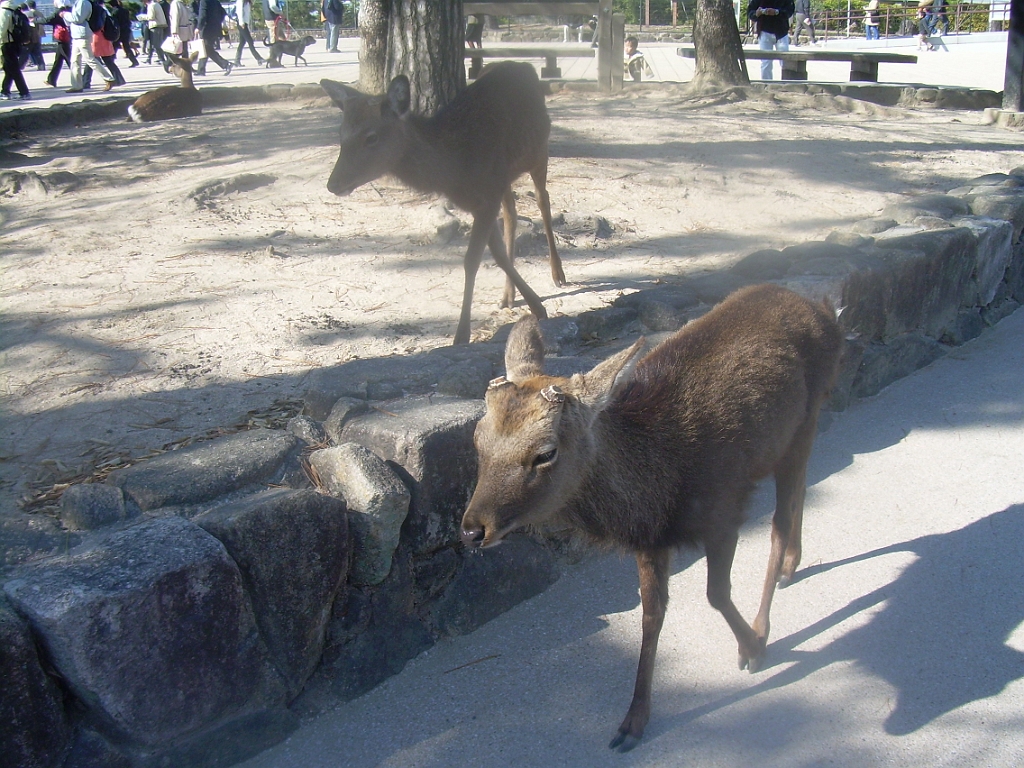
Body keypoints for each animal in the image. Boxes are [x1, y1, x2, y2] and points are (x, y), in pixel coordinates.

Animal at [317, 63, 569, 346]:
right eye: (341, 135)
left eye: (371, 137)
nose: (334, 184)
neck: (454, 169)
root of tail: (523, 66)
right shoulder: (484, 199)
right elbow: (498, 254)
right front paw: (534, 305)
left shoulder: (487, 196)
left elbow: (472, 261)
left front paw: (462, 335)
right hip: (508, 176)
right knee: (512, 214)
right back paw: (508, 295)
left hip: (539, 152)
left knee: (543, 200)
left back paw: (558, 274)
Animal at [460, 284, 843, 753]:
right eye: (477, 439)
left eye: (545, 452)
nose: (472, 529)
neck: (656, 492)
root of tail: (823, 308)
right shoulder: (650, 541)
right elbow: (650, 615)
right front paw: (632, 722)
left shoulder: (723, 507)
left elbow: (716, 593)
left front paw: (751, 649)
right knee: (800, 491)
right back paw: (791, 566)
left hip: (805, 417)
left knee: (780, 521)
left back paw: (766, 616)